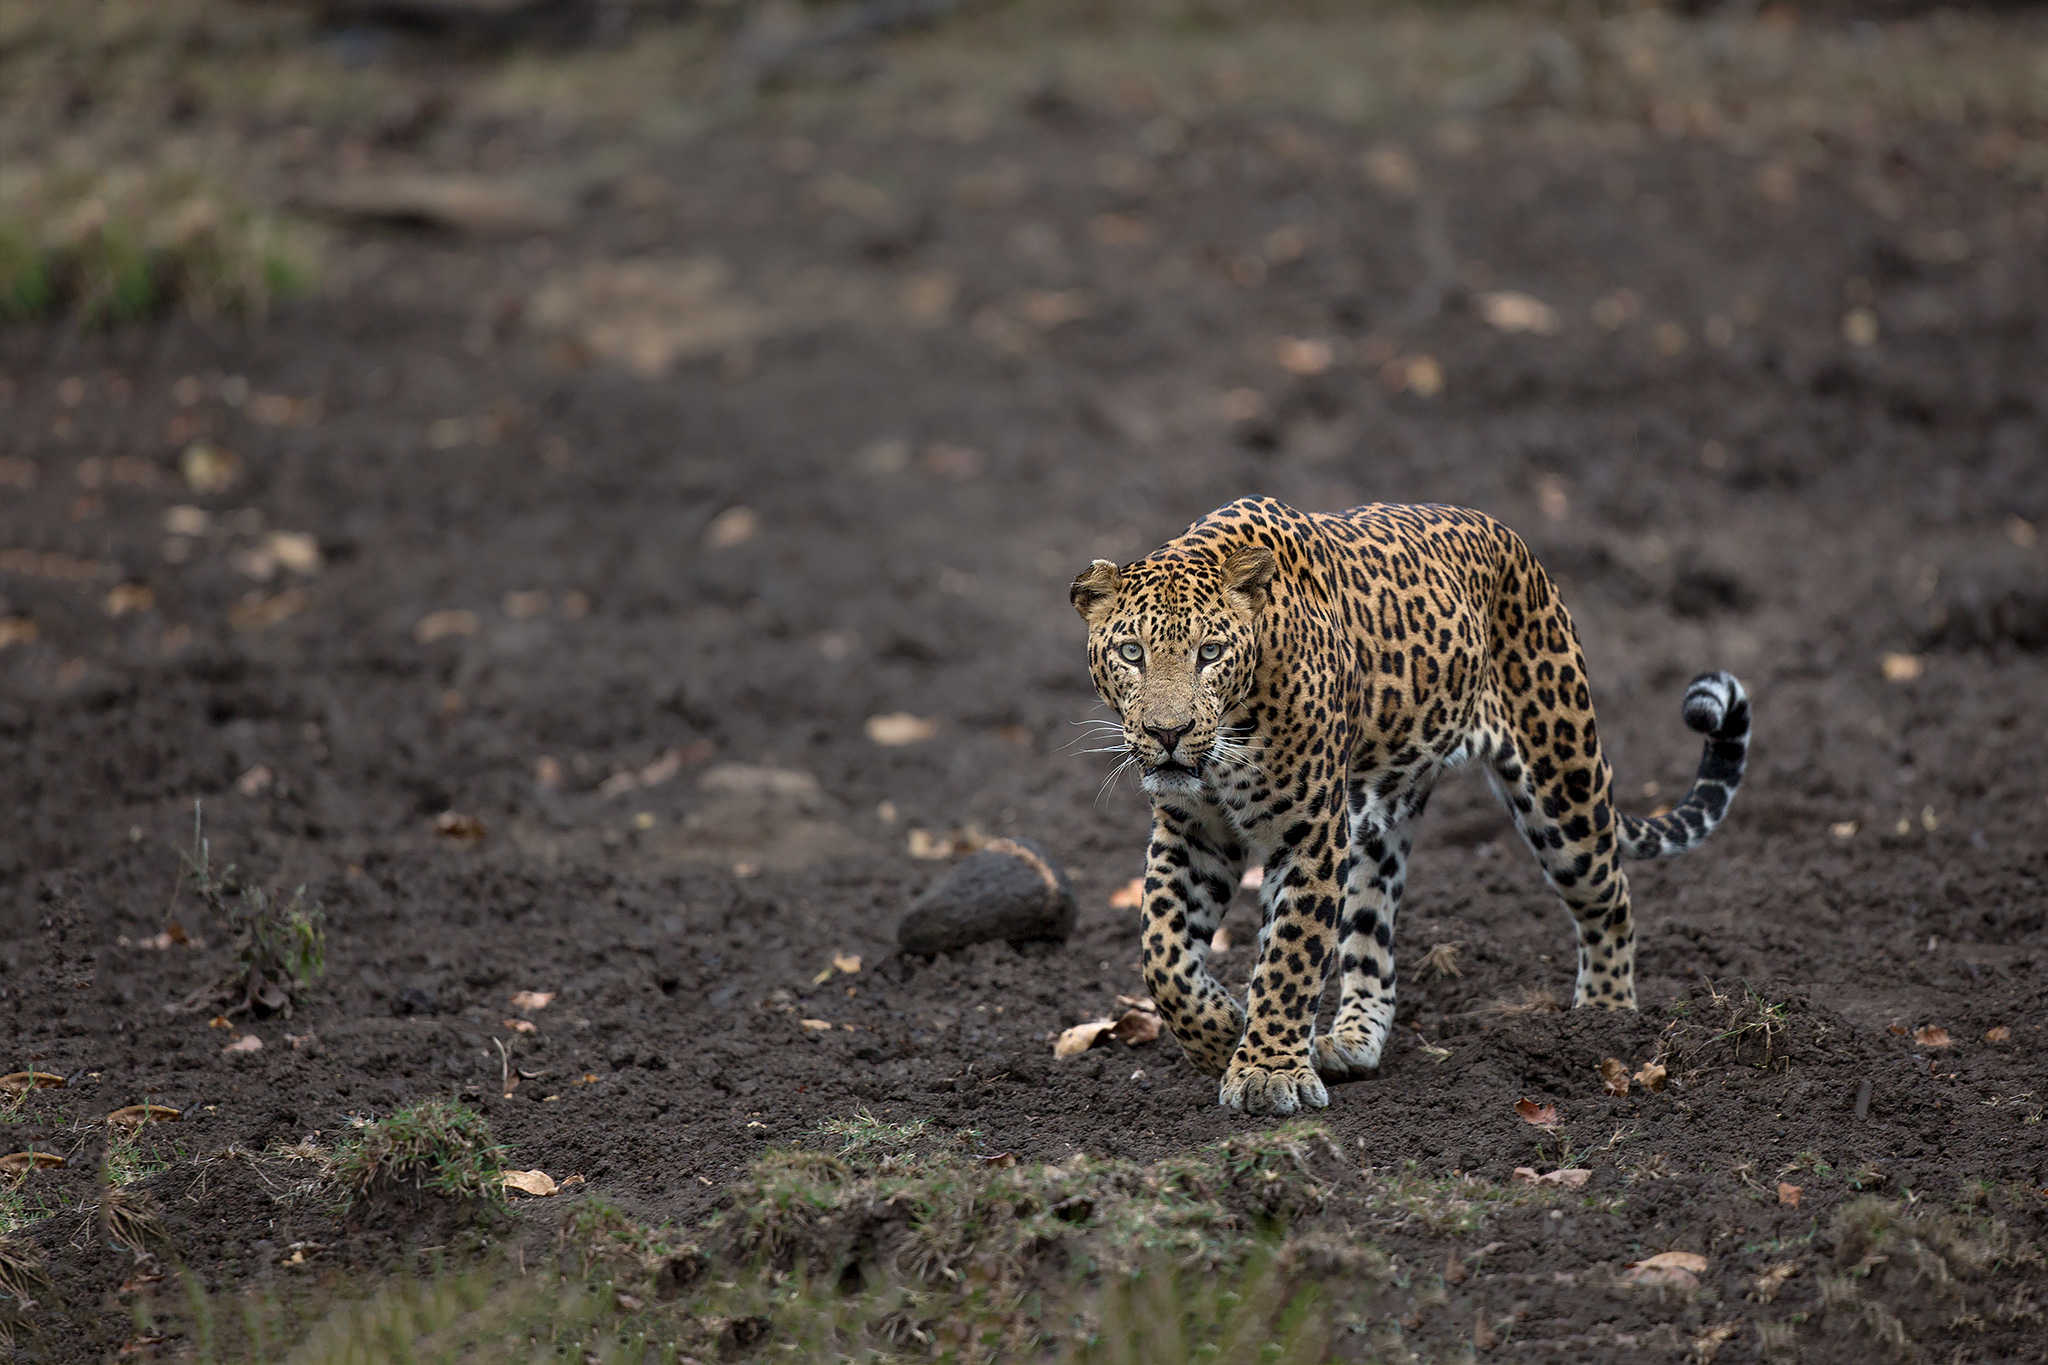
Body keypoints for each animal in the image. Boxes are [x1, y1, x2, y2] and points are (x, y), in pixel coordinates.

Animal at [1064, 497, 1753, 1113]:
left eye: (1209, 653)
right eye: (1131, 653)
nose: (1168, 733)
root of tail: (1516, 544)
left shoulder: (1310, 835)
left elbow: (1289, 956)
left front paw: (1266, 1071)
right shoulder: (1194, 834)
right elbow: (1162, 953)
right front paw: (1221, 1035)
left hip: (1564, 783)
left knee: (1611, 896)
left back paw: (1605, 1019)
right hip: (1378, 825)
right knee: (1371, 936)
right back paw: (1350, 1040)